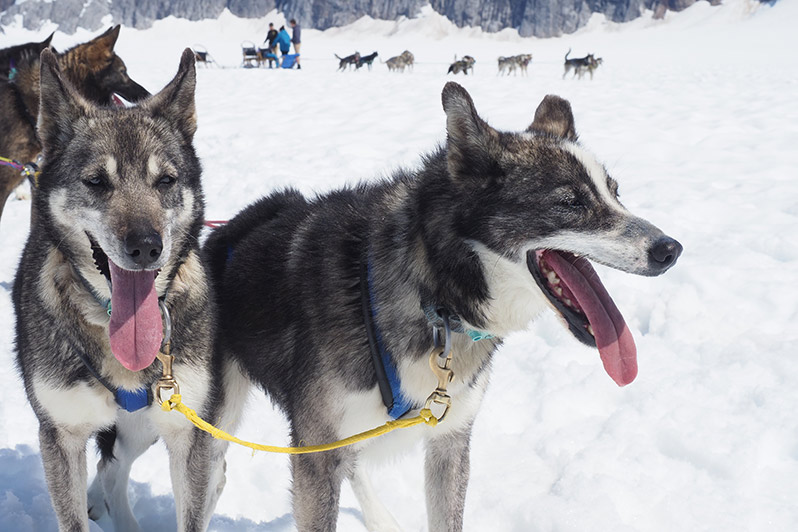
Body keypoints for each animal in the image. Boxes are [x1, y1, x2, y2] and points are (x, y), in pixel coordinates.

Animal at [10, 48, 245, 532]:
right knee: (109, 469)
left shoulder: (187, 432)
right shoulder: (61, 435)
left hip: (145, 427)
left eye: (166, 181)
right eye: (97, 181)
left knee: (114, 467)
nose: (146, 246)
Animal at [203, 81, 684, 528]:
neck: (435, 296)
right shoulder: (316, 451)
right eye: (570, 202)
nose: (670, 249)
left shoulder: (450, 439)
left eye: (615, 192)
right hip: (218, 420)